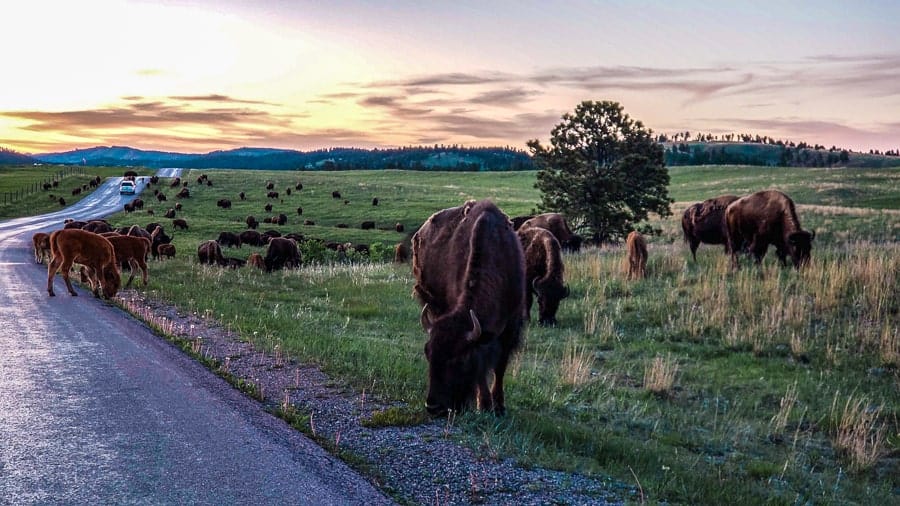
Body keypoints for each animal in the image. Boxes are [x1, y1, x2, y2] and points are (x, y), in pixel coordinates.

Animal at [412, 200, 524, 418]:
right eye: (428, 353)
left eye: (460, 359)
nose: (433, 407)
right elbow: (481, 372)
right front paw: (484, 404)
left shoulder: (510, 327)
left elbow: (499, 367)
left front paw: (499, 407)